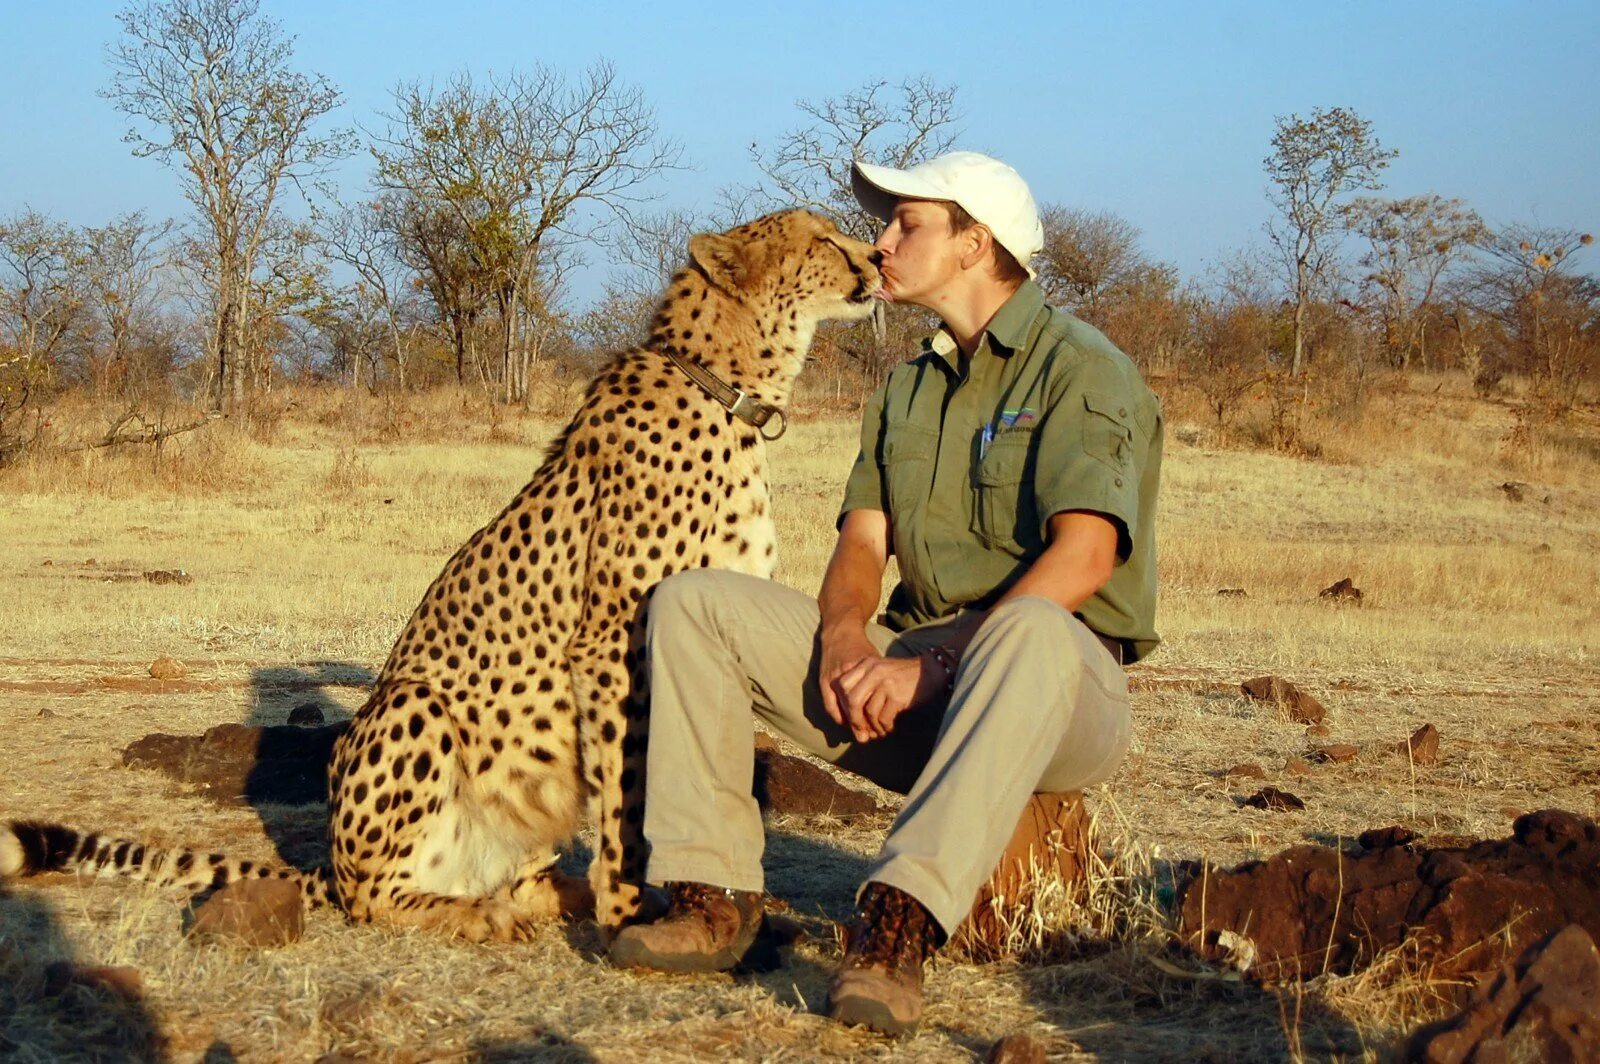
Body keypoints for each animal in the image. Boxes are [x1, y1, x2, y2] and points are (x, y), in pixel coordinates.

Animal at [0, 208, 883, 940]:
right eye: (821, 237)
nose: (876, 257)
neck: (728, 385)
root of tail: (331, 862)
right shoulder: (611, 645)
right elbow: (629, 793)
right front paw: (631, 913)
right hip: (416, 709)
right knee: (373, 900)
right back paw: (477, 915)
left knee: (499, 876)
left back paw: (542, 896)